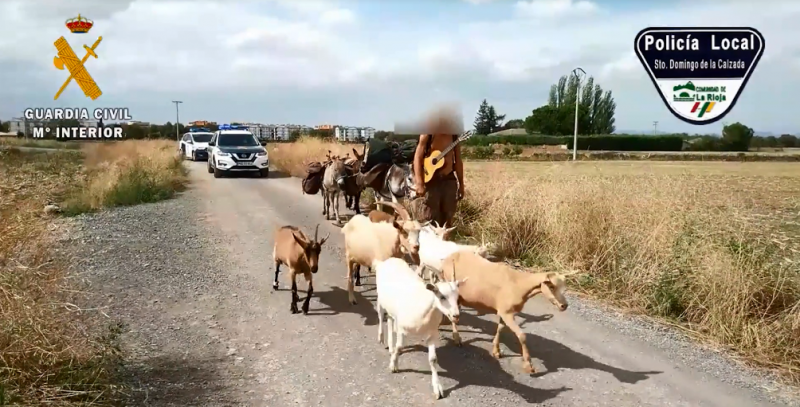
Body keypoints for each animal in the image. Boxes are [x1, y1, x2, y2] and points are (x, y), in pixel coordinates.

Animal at [376, 258, 468, 402]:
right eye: (442, 296)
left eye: (457, 297)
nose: (456, 315)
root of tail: (388, 260)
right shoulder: (401, 328)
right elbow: (400, 347)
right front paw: (393, 365)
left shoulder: (432, 334)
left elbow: (433, 359)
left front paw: (437, 389)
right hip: (380, 299)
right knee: (380, 315)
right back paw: (381, 338)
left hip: (392, 310)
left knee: (390, 320)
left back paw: (390, 346)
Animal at [440, 253, 580, 374]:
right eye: (551, 287)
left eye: (564, 288)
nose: (564, 306)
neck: (520, 284)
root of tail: (449, 256)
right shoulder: (507, 313)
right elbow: (522, 336)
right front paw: (528, 365)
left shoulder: (505, 311)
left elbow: (500, 329)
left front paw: (496, 351)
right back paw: (456, 338)